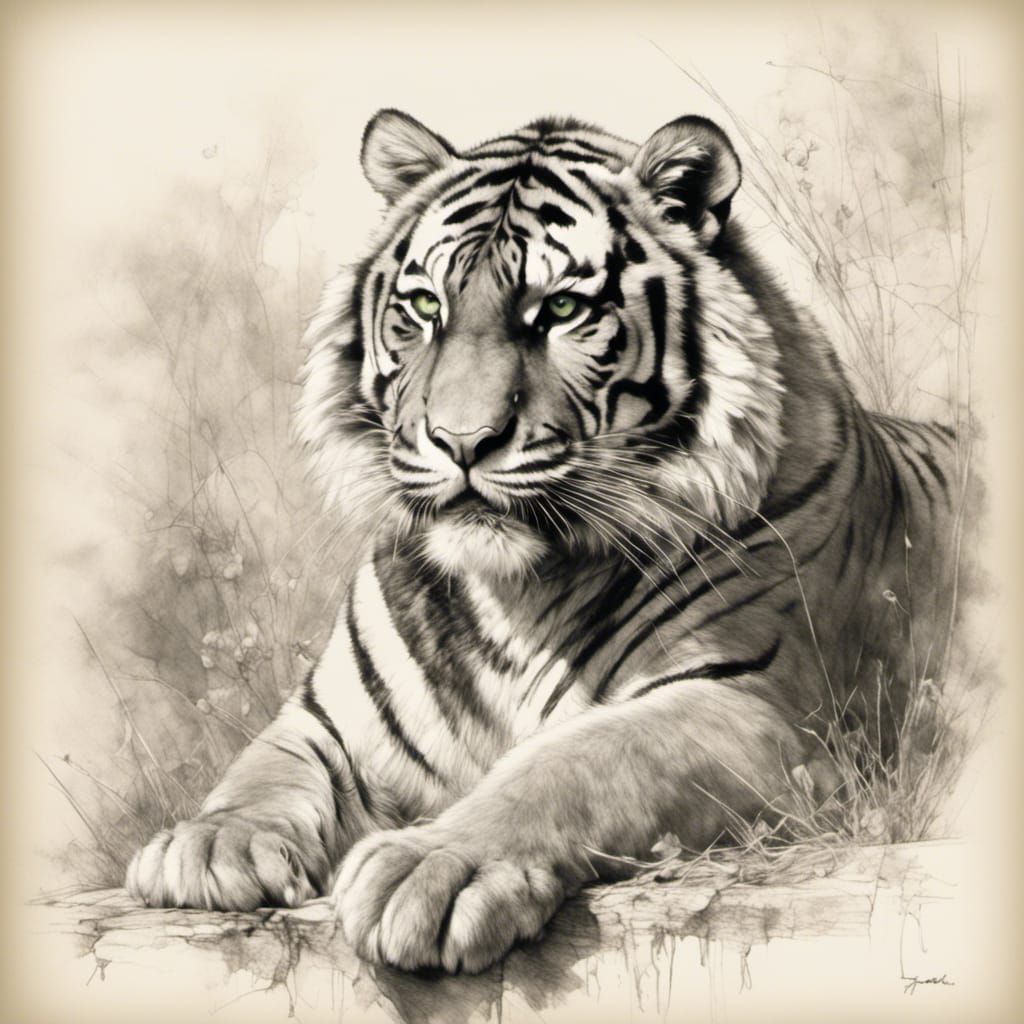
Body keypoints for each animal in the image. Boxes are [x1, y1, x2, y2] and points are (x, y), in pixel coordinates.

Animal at [126, 109, 962, 974]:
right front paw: (210, 843)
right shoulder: (331, 716)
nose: (461, 441)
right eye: (423, 305)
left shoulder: (755, 707)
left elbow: (572, 763)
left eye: (559, 311)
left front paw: (431, 866)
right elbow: (268, 766)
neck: (513, 593)